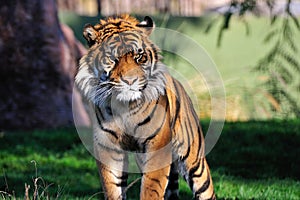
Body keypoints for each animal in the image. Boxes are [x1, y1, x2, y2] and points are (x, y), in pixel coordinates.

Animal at [75, 14, 216, 200]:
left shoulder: (157, 145)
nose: (130, 81)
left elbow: (151, 187)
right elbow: (112, 186)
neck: (124, 107)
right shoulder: (108, 146)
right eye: (113, 58)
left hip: (194, 161)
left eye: (139, 57)